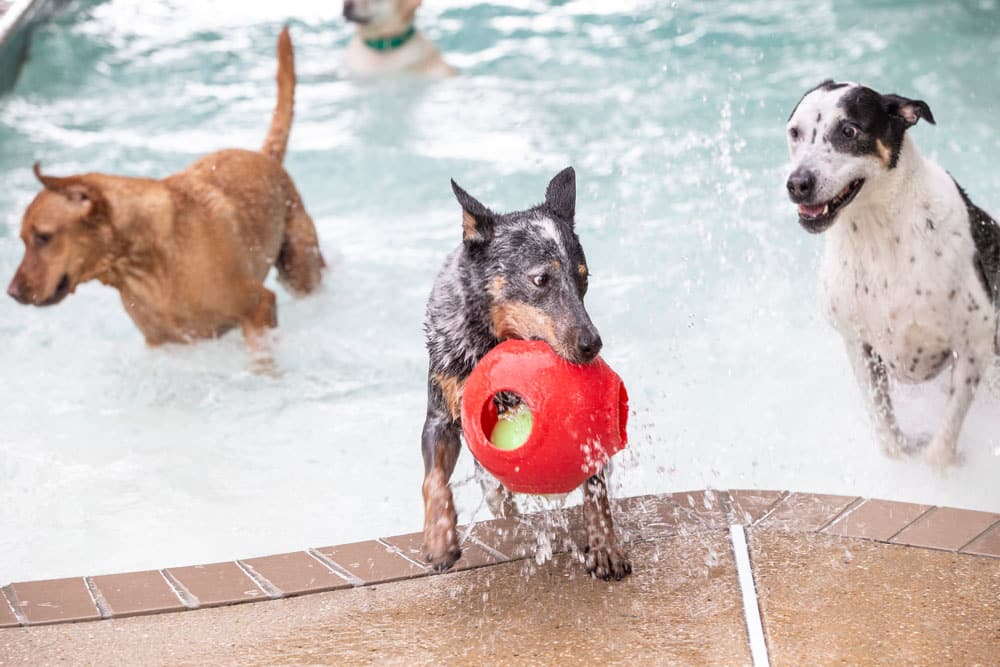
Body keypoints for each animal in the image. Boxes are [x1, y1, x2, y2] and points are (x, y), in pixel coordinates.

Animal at [6, 27, 324, 354]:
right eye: (23, 240)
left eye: (43, 237)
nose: (12, 292)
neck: (147, 259)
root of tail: (265, 156)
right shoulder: (166, 343)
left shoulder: (259, 307)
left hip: (300, 267)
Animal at [418, 167, 628, 580]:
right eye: (541, 279)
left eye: (584, 277)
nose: (592, 344)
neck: (493, 341)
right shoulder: (439, 418)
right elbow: (433, 480)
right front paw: (439, 540)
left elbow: (595, 486)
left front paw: (605, 545)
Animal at [788, 81, 1000, 468]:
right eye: (794, 132)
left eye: (848, 131)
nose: (797, 184)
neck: (879, 233)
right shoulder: (858, 345)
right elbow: (884, 425)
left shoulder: (974, 344)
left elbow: (943, 440)